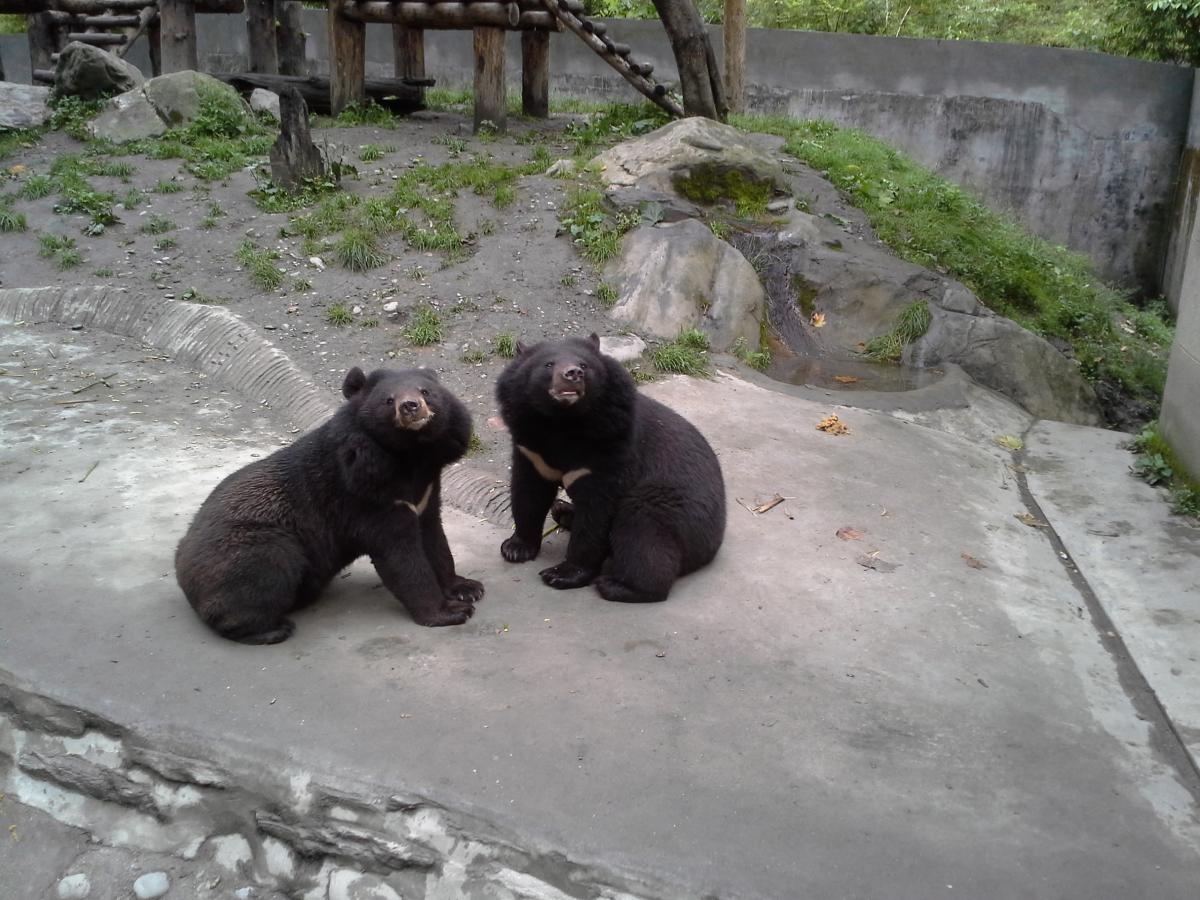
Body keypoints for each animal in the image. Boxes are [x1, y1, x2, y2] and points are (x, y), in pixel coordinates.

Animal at [175, 366, 483, 644]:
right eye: (388, 400)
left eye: (426, 391)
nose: (411, 406)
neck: (410, 456)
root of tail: (181, 563)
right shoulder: (366, 496)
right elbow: (401, 557)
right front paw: (451, 612)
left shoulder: (426, 492)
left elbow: (434, 538)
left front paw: (467, 588)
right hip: (251, 548)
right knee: (265, 572)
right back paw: (272, 629)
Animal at [495, 333, 726, 603]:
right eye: (548, 364)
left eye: (584, 365)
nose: (573, 373)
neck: (562, 423)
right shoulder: (531, 447)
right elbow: (528, 494)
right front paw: (515, 548)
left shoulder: (608, 450)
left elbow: (596, 514)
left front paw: (561, 574)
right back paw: (563, 511)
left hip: (672, 507)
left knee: (643, 533)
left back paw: (618, 585)